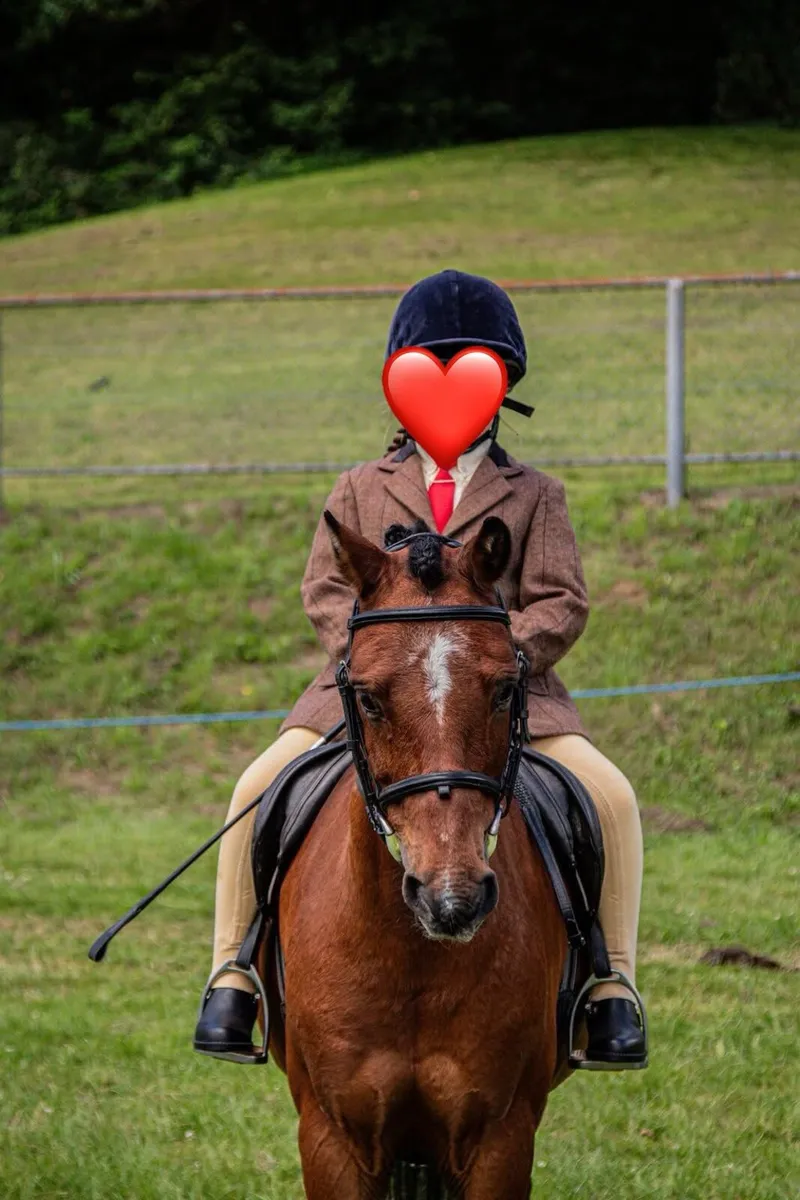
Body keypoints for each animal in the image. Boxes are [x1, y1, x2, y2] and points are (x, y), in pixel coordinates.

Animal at [265, 513, 569, 1199]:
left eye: (505, 690)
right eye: (369, 699)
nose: (450, 898)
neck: (411, 956)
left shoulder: (500, 1140)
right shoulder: (331, 1138)